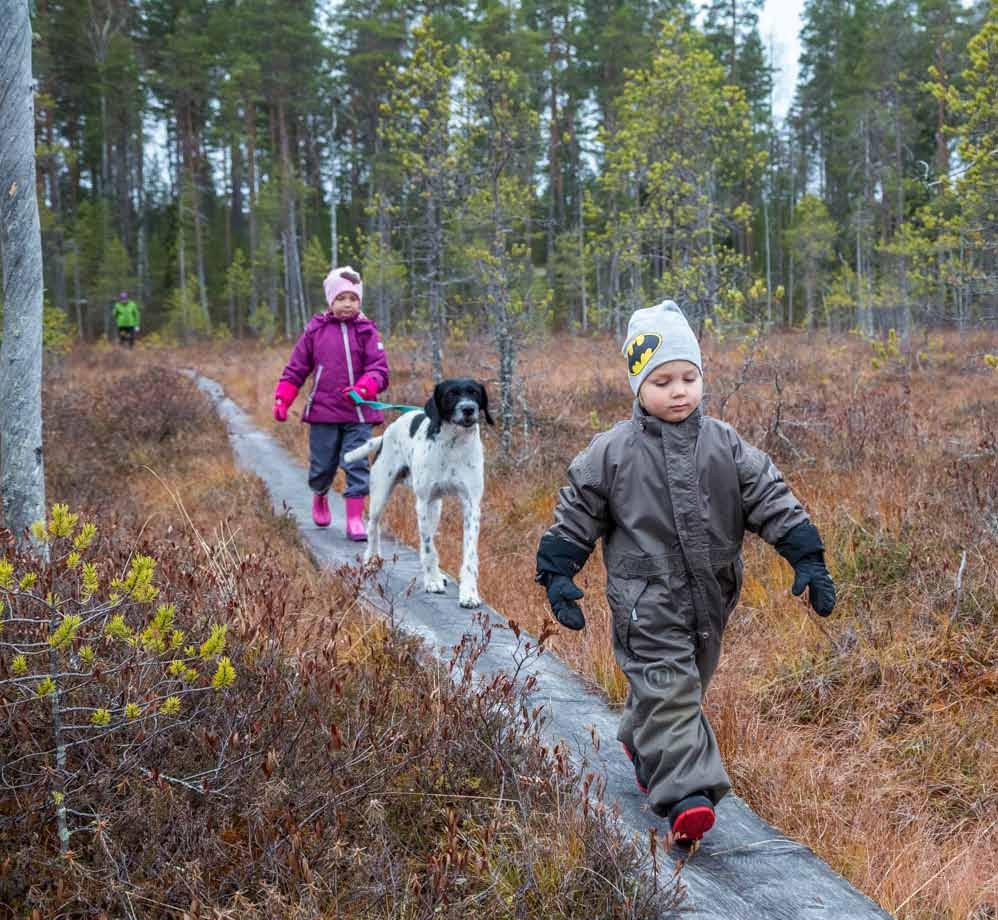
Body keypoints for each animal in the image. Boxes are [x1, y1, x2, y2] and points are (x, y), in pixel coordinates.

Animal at [346, 378, 494, 608]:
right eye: (451, 394)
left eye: (475, 393)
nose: (469, 408)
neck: (453, 444)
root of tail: (388, 431)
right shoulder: (423, 502)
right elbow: (428, 547)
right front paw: (432, 581)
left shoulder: (471, 505)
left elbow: (469, 555)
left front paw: (469, 593)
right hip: (381, 493)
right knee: (373, 526)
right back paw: (371, 559)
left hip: (435, 508)